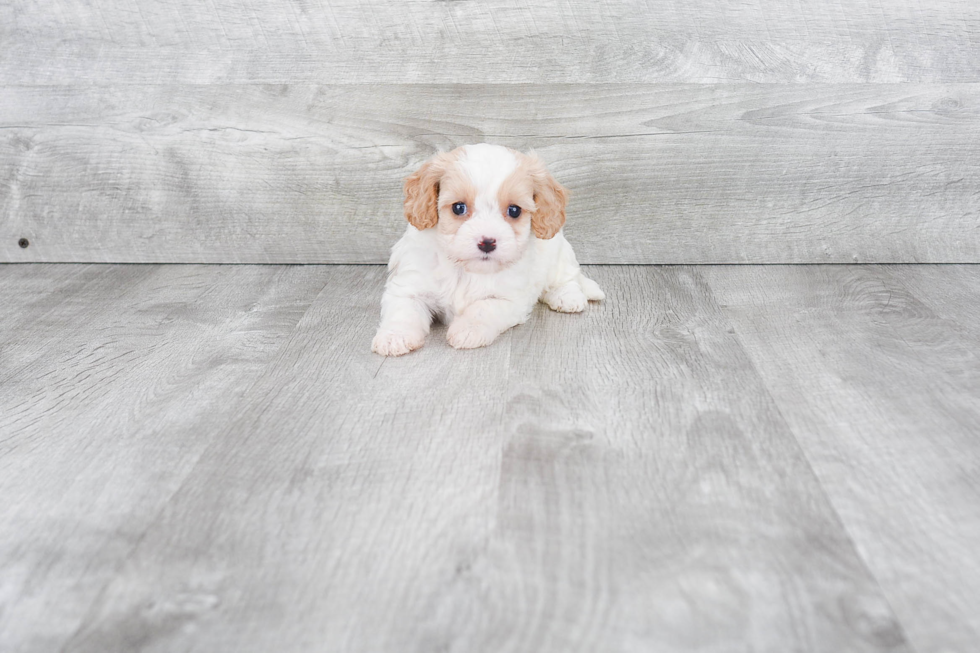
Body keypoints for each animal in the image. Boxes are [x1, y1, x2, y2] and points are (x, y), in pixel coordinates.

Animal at [374, 144, 604, 356]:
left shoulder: (510, 298)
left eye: (514, 210)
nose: (487, 242)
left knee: (568, 277)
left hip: (559, 253)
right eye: (458, 207)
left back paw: (567, 297)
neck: (465, 269)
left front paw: (468, 330)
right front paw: (395, 336)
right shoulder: (409, 284)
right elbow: (403, 310)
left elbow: (483, 308)